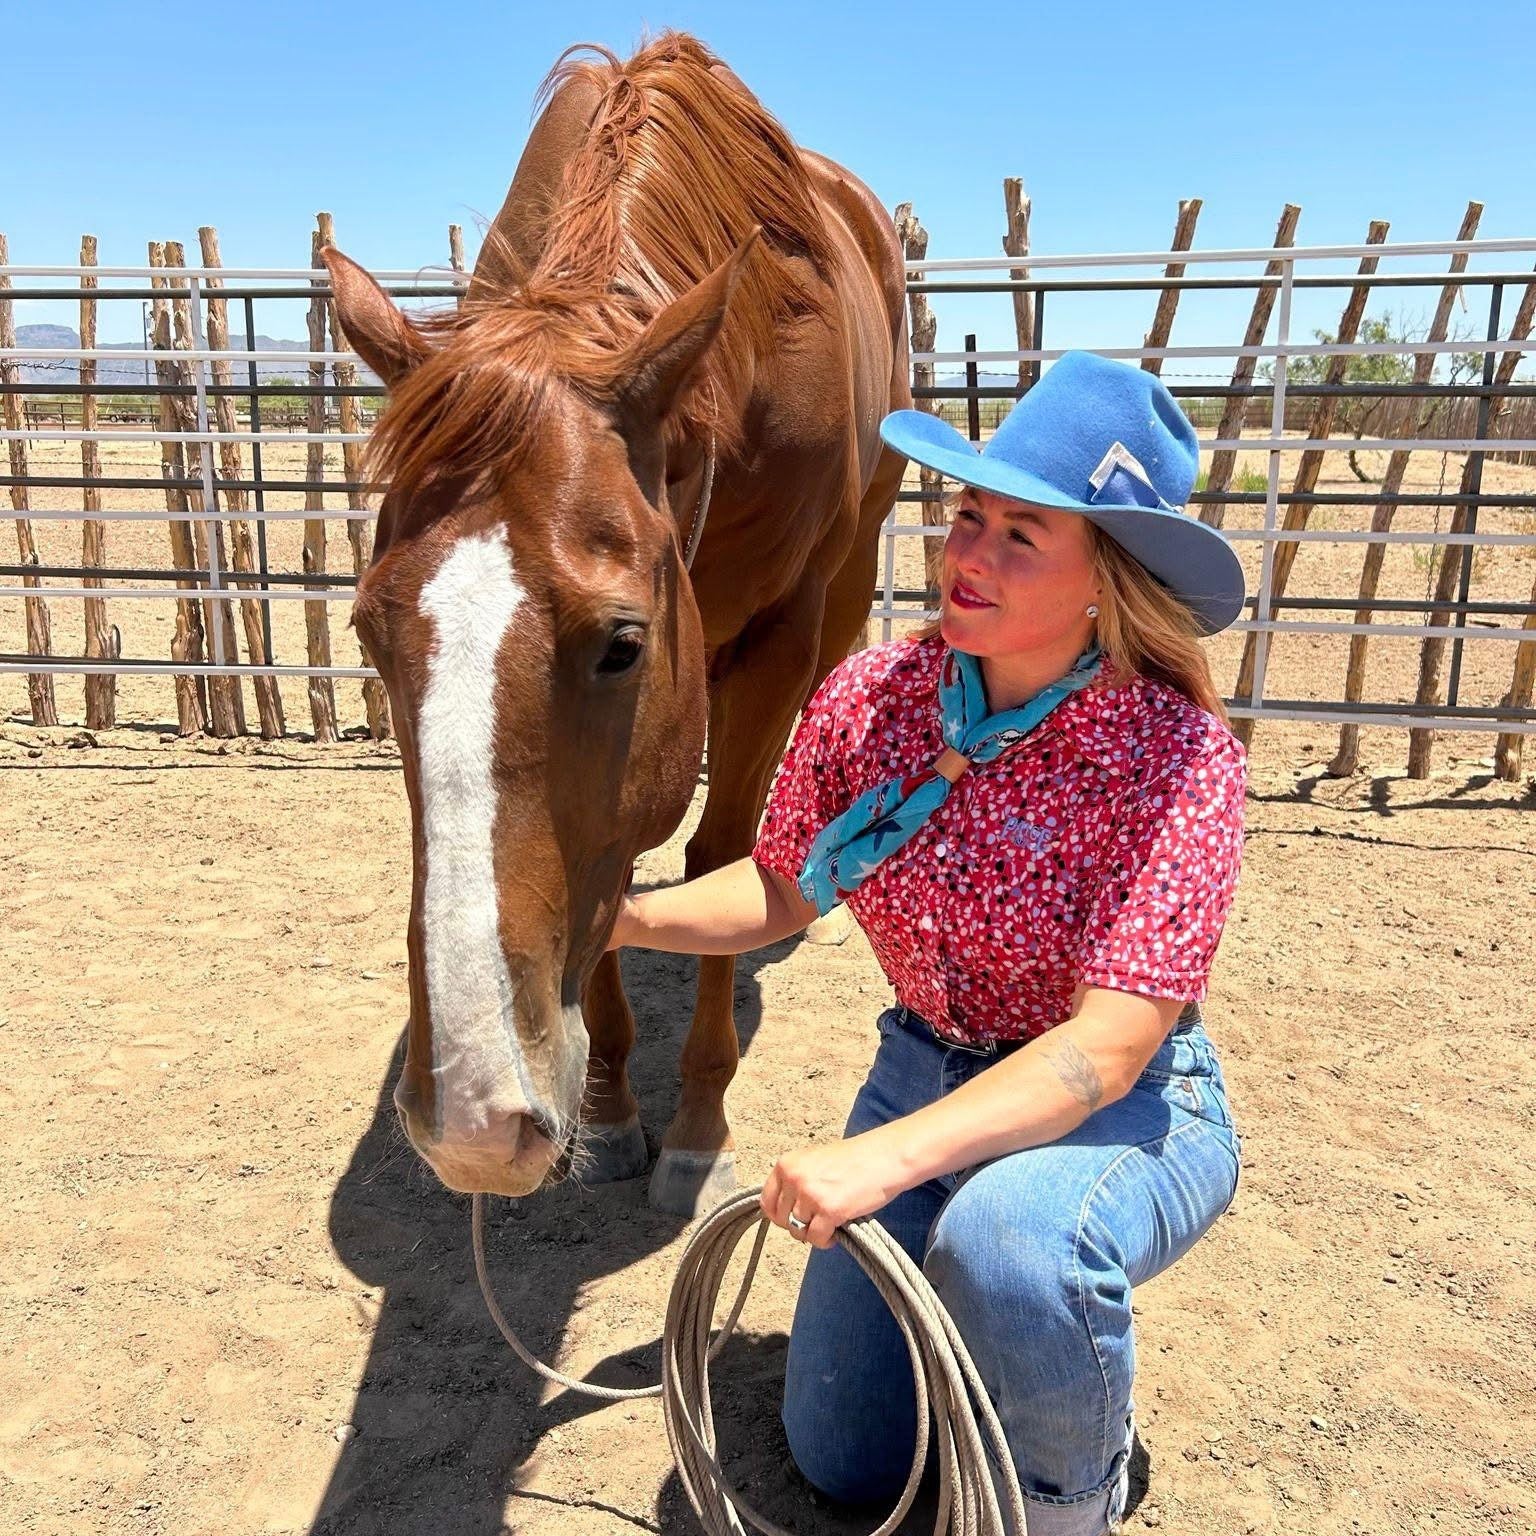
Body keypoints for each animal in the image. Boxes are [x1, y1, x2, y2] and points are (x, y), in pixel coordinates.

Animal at [317, 29, 903, 1216]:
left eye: (621, 645)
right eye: (367, 637)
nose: (475, 1122)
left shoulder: (772, 636)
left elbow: (720, 851)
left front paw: (697, 1127)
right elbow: (617, 867)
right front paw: (614, 1102)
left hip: (851, 564)